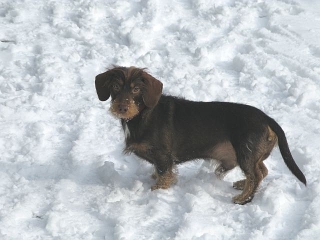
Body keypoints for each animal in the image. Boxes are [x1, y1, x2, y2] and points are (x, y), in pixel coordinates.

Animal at [95, 67, 308, 204]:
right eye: (115, 87)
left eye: (136, 89)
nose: (122, 108)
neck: (142, 115)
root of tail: (267, 119)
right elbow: (160, 172)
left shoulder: (163, 156)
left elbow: (164, 175)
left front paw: (156, 191)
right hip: (252, 155)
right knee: (262, 170)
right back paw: (241, 184)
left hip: (245, 152)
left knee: (255, 176)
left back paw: (241, 198)